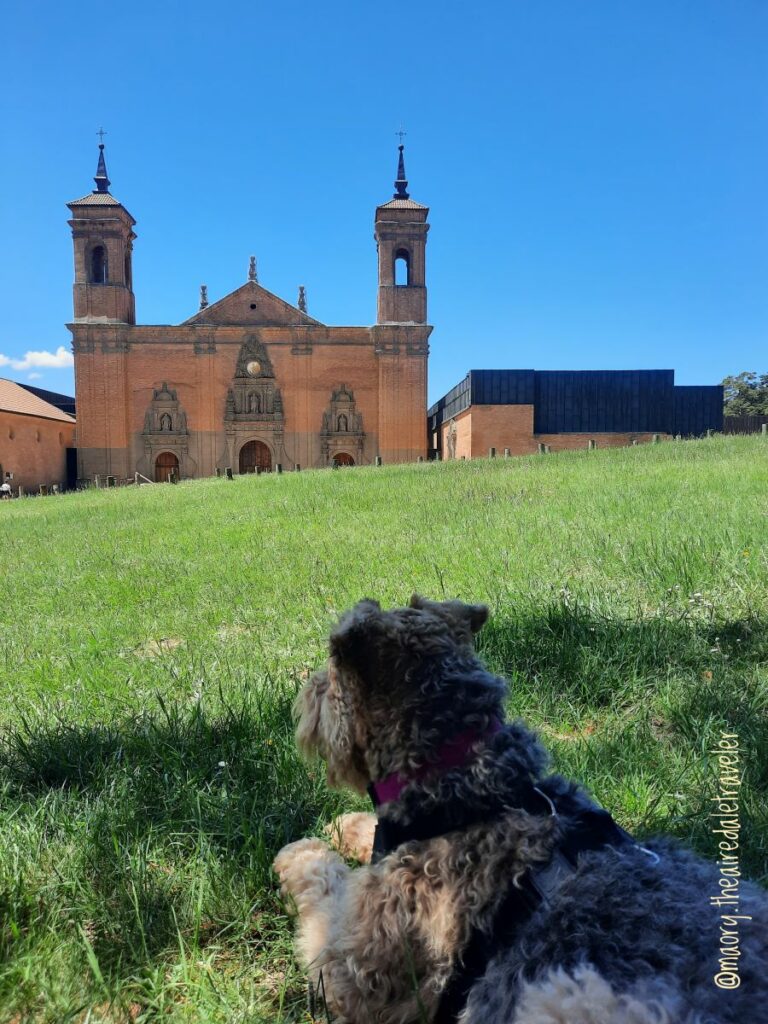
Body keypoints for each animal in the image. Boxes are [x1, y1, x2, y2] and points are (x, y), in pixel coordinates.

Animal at [274, 598, 765, 1024]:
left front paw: (301, 852)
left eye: (329, 673)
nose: (304, 698)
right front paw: (344, 826)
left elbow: (324, 890)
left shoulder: (354, 971)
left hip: (563, 994)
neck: (474, 786)